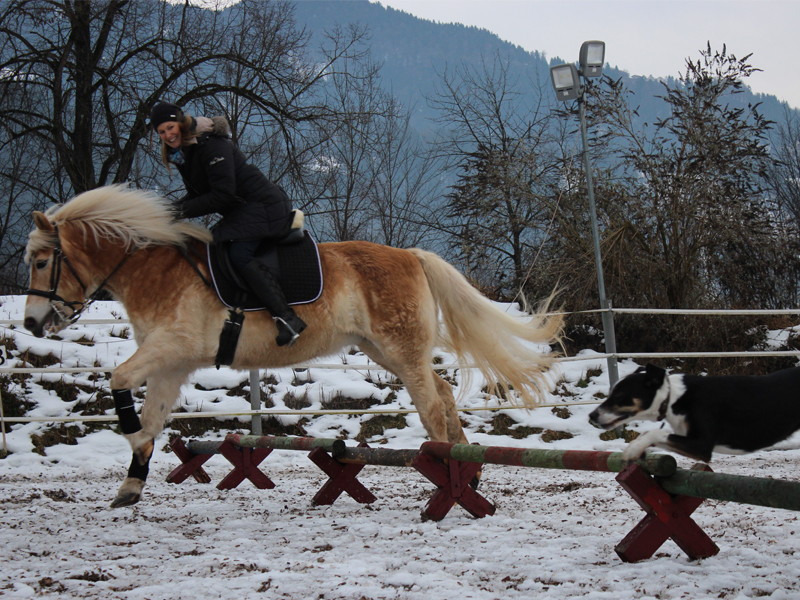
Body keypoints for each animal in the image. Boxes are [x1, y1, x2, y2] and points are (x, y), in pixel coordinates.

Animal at [23, 186, 564, 506]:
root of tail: (410, 255)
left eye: (42, 261)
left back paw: (449, 478)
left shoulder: (170, 348)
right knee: (444, 394)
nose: (32, 322)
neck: (155, 272)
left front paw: (133, 444)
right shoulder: (172, 364)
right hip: (384, 351)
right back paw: (467, 472)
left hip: (400, 351)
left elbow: (119, 383)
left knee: (431, 404)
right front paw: (132, 482)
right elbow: (153, 417)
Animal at [588, 360, 800, 464]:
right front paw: (638, 448)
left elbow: (656, 432)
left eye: (620, 395)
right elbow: (654, 435)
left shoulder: (703, 446)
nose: (592, 416)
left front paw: (632, 449)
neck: (673, 398)